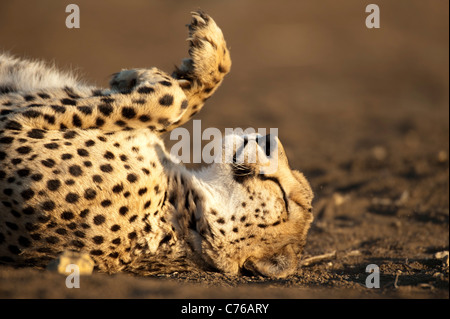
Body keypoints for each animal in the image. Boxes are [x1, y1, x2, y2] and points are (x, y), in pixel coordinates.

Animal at [0, 11, 312, 278]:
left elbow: (171, 98)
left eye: (284, 197)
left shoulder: (12, 126)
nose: (270, 138)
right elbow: (180, 101)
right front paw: (202, 58)